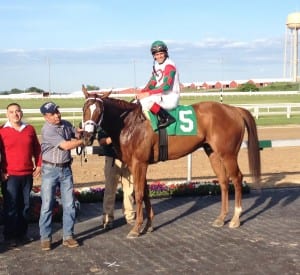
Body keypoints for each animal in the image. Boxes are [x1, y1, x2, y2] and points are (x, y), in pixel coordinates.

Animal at [81, 86, 260, 239]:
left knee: (237, 178)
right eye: (84, 110)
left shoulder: (139, 163)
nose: (87, 136)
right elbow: (145, 192)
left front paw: (136, 228)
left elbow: (138, 193)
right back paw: (221, 218)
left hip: (228, 154)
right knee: (223, 181)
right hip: (213, 153)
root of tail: (234, 110)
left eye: (99, 111)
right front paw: (148, 225)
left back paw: (235, 218)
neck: (131, 124)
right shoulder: (139, 164)